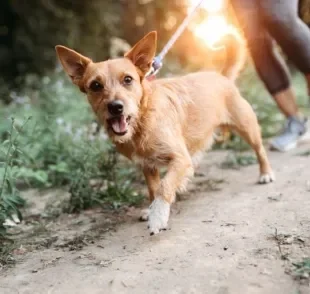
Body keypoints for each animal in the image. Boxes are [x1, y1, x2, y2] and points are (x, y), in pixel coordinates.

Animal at [55, 31, 274, 235]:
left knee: (260, 150)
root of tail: (220, 76)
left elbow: (164, 186)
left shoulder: (180, 159)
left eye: (128, 79)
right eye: (95, 85)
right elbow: (153, 189)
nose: (115, 107)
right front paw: (152, 209)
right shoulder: (148, 166)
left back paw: (265, 173)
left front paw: (158, 216)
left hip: (247, 127)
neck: (141, 121)